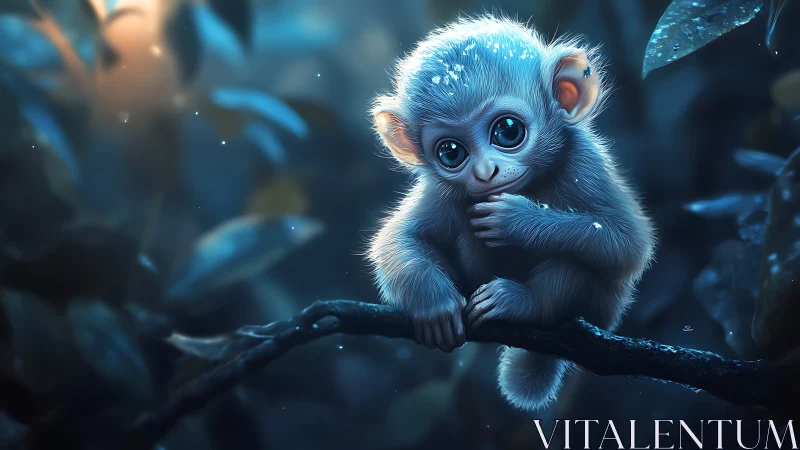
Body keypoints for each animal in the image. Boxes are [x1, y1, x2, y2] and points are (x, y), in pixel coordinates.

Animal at [366, 15, 655, 411]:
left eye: (507, 130)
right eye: (451, 152)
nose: (485, 172)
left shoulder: (584, 162)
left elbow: (629, 243)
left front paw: (516, 220)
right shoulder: (442, 190)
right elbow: (398, 239)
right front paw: (435, 304)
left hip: (602, 309)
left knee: (576, 263)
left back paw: (522, 303)